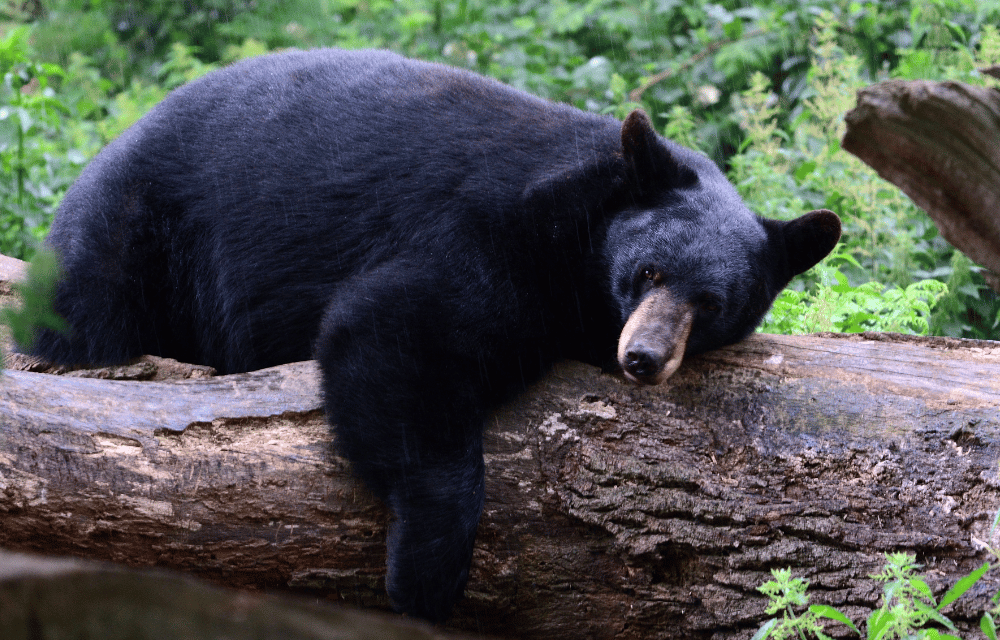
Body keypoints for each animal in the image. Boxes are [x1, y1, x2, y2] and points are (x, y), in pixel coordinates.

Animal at [25, 50, 836, 624]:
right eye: (647, 270)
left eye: (714, 303)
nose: (642, 359)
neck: (582, 217)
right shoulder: (493, 231)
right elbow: (397, 329)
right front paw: (427, 573)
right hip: (137, 228)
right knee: (87, 310)